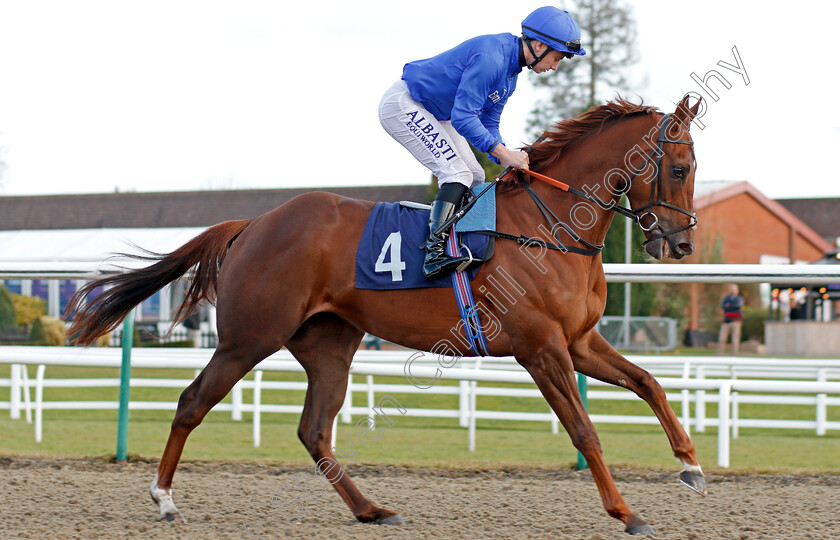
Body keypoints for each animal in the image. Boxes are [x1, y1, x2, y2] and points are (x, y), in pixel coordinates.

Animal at [69, 95, 704, 532]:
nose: (680, 245)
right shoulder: (541, 348)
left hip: (329, 344)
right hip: (248, 337)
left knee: (313, 429)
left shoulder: (579, 342)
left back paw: (372, 509)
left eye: (694, 168)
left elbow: (648, 383)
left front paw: (691, 466)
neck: (550, 227)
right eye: (677, 168)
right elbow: (584, 430)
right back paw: (163, 499)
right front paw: (626, 512)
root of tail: (254, 223)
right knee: (192, 403)